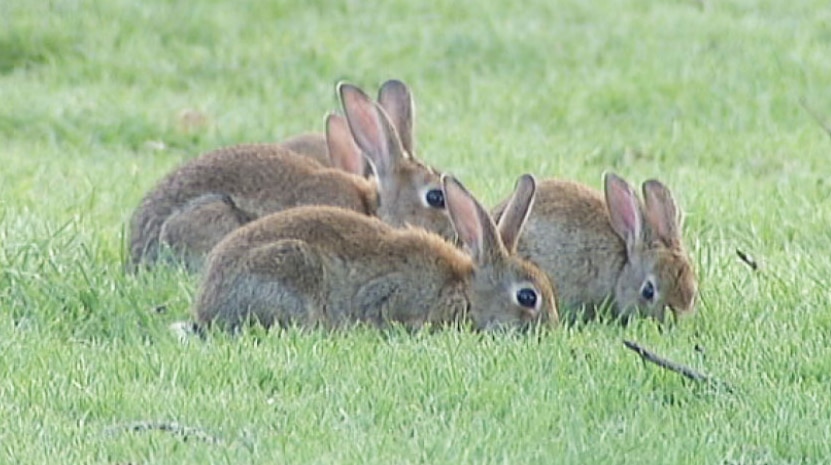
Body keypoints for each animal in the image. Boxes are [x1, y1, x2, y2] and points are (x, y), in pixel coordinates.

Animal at [193, 173, 560, 330]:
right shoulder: (396, 293)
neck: (466, 289)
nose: (549, 330)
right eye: (527, 297)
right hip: (292, 264)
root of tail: (207, 304)